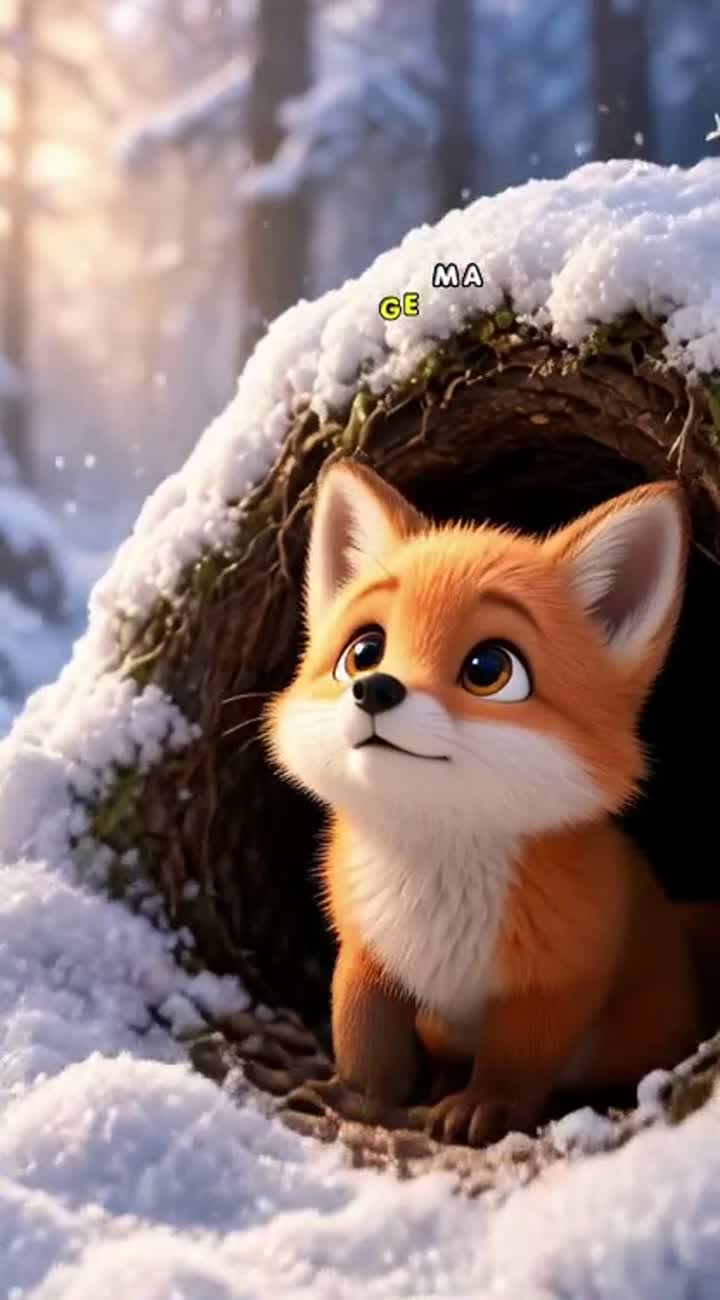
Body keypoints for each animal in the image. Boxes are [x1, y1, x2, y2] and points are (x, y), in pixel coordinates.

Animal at [264, 457, 719, 1147]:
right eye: (363, 652)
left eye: (488, 669)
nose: (374, 689)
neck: (434, 884)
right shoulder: (367, 953)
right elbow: (364, 1040)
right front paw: (352, 1098)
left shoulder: (554, 981)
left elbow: (516, 1061)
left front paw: (487, 1109)